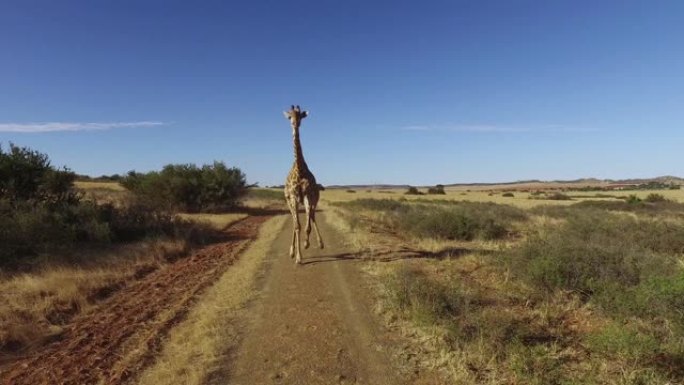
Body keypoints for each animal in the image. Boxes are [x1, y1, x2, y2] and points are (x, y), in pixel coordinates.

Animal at [284, 103, 324, 262]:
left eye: (300, 116)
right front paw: (298, 257)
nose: (295, 124)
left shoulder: (307, 196)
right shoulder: (294, 198)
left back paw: (319, 243)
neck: (299, 169)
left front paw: (307, 243)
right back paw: (291, 251)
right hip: (289, 201)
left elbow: (307, 226)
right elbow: (298, 226)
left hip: (311, 199)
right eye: (289, 116)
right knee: (295, 222)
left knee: (311, 216)